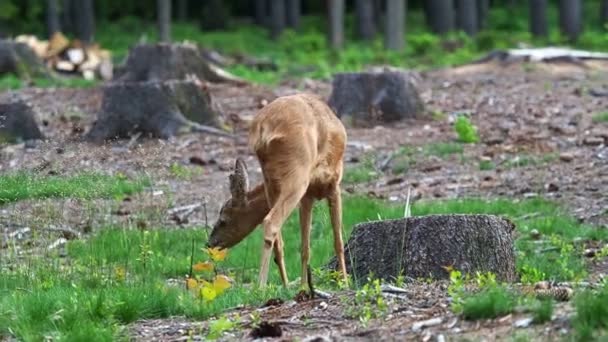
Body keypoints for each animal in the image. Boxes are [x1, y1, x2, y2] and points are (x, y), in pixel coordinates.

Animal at [207, 92, 346, 288]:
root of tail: (263, 128)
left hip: (271, 180)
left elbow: (306, 247)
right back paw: (260, 286)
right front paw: (345, 283)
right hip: (298, 173)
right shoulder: (334, 183)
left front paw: (304, 286)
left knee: (278, 240)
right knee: (271, 222)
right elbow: (338, 240)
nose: (210, 244)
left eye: (223, 220)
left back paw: (285, 285)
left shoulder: (309, 196)